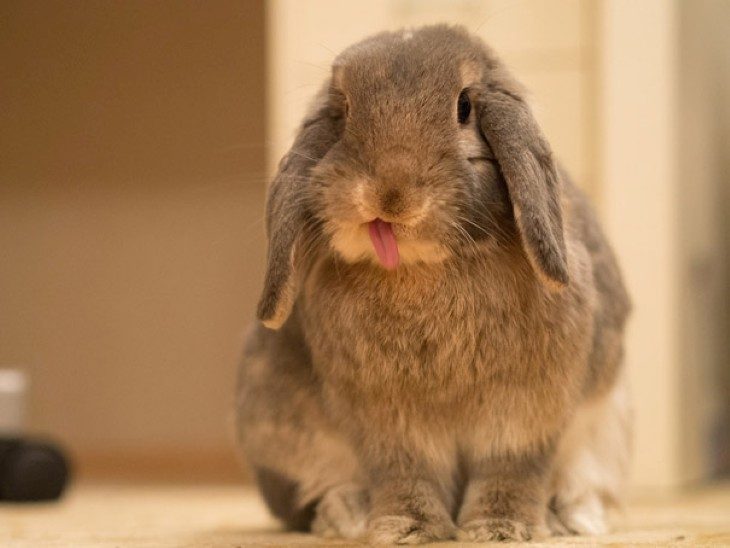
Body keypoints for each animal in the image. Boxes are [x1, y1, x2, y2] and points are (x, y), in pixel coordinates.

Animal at [236, 22, 628, 544]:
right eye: (345, 108)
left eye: (464, 107)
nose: (389, 195)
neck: (420, 270)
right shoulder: (389, 425)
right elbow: (406, 473)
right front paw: (407, 528)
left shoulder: (523, 417)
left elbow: (511, 469)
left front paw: (500, 528)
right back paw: (347, 514)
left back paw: (571, 515)